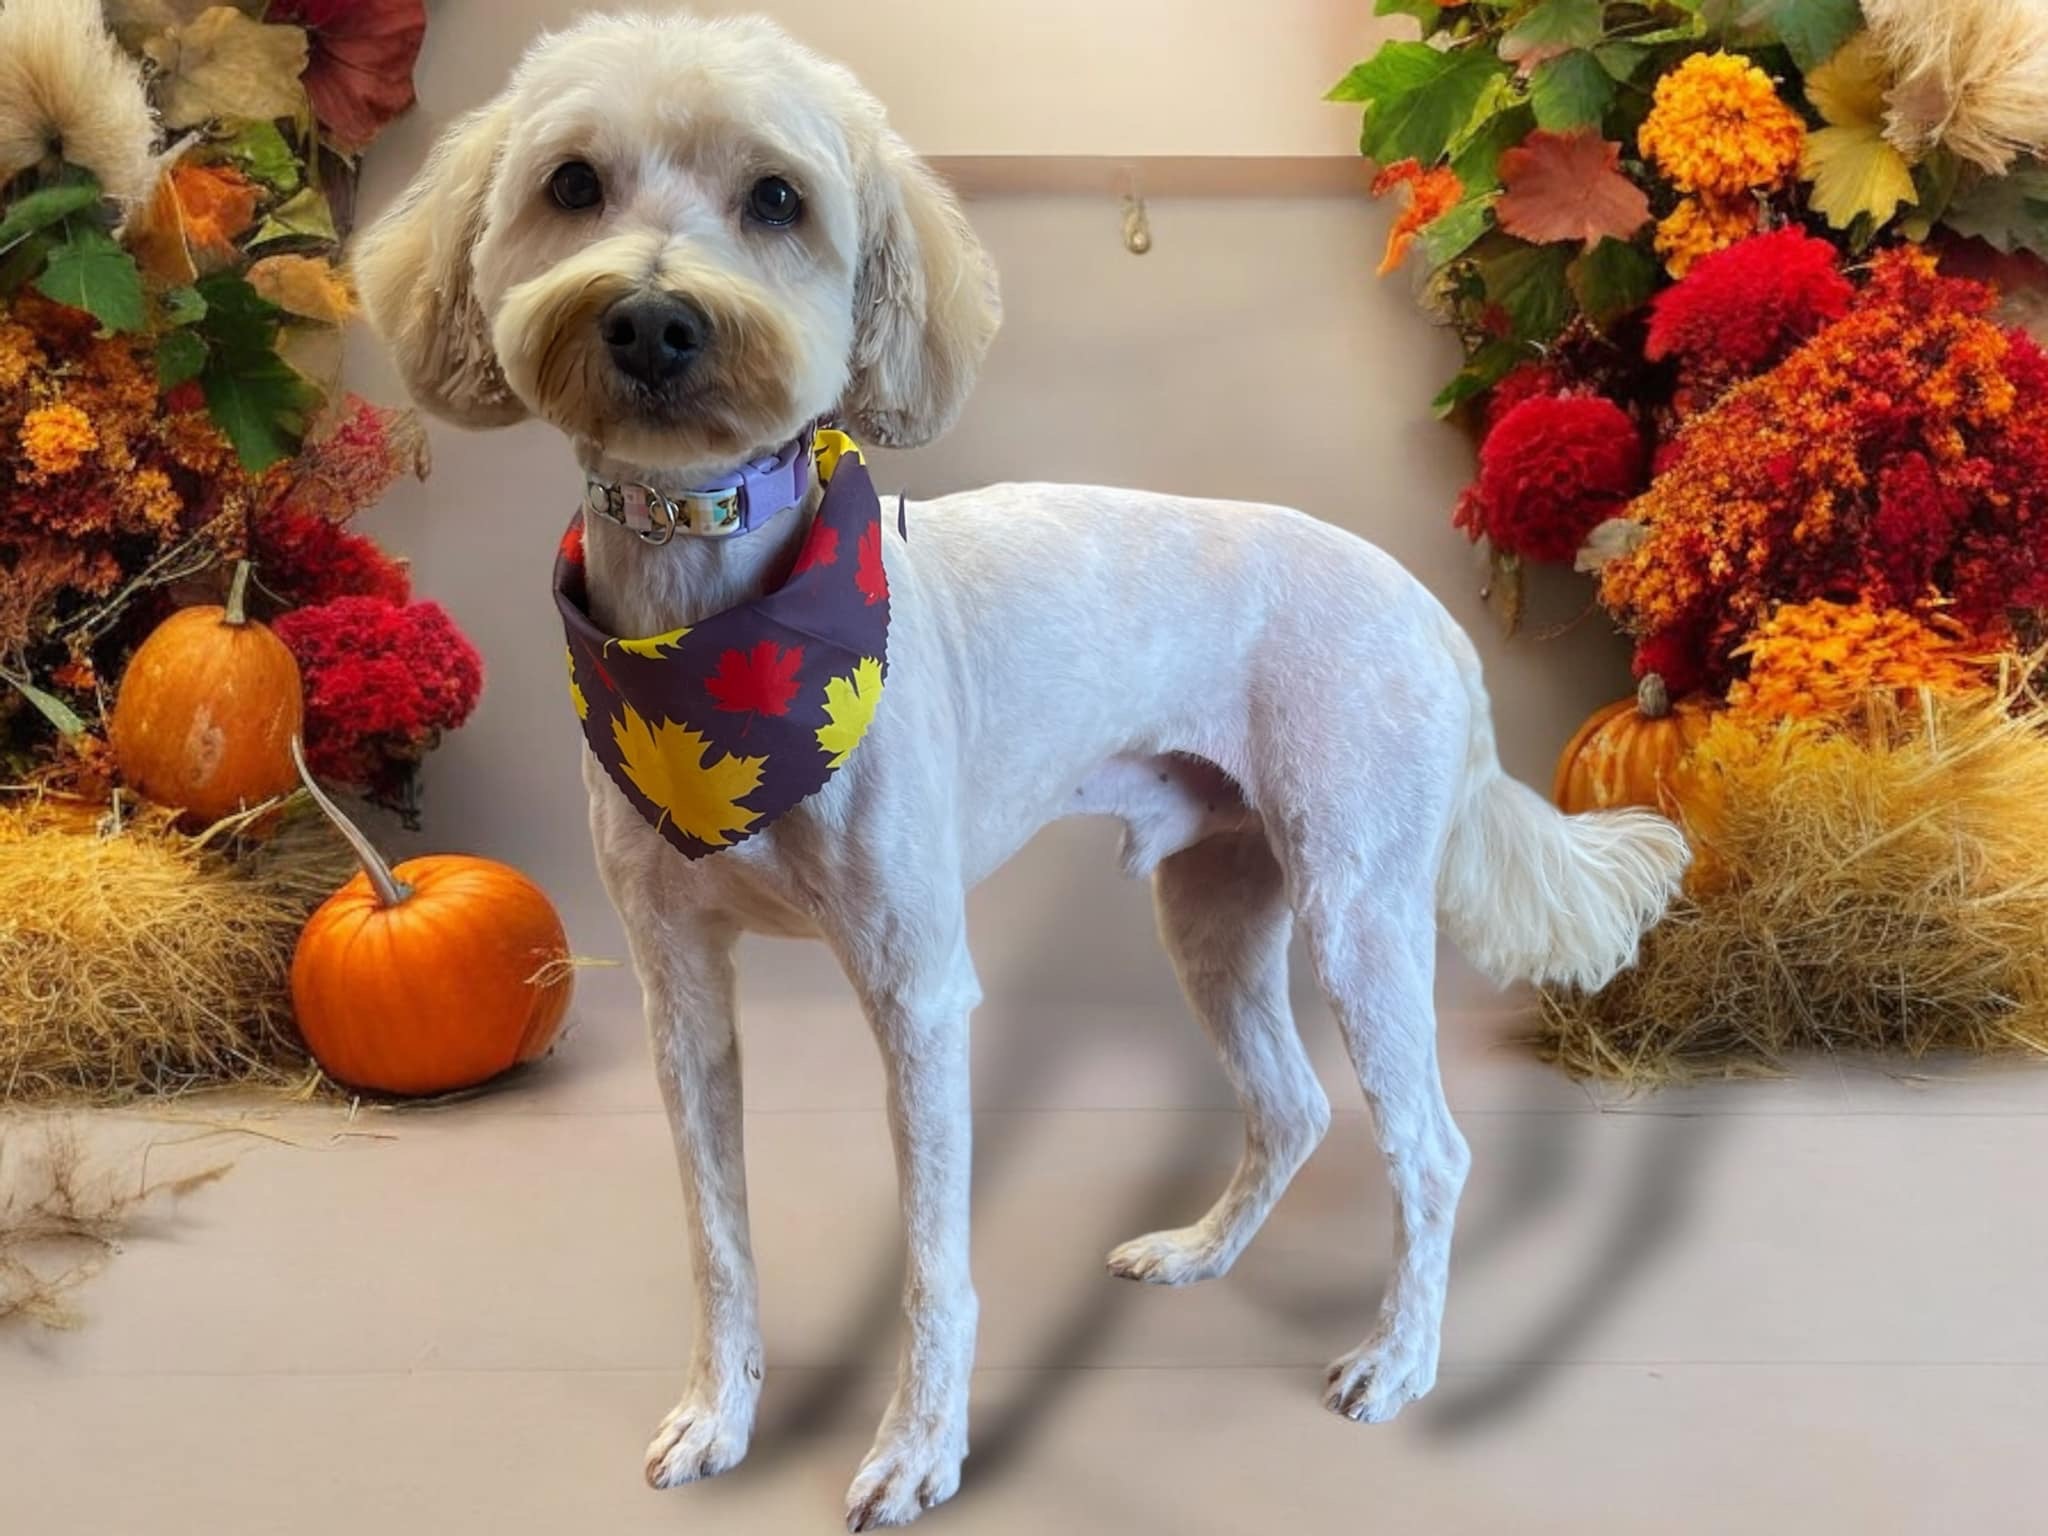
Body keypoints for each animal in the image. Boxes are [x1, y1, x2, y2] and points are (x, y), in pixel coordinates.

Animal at [356, 12, 1695, 1531]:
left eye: (776, 199)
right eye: (571, 184)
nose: (650, 320)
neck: (712, 633)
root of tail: (1430, 618)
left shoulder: (919, 992)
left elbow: (936, 1264)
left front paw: (919, 1451)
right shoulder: (677, 988)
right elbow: (717, 1239)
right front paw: (721, 1413)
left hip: (1359, 909)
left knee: (1430, 1149)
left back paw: (1400, 1361)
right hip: (1215, 905)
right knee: (1291, 1105)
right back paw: (1199, 1253)